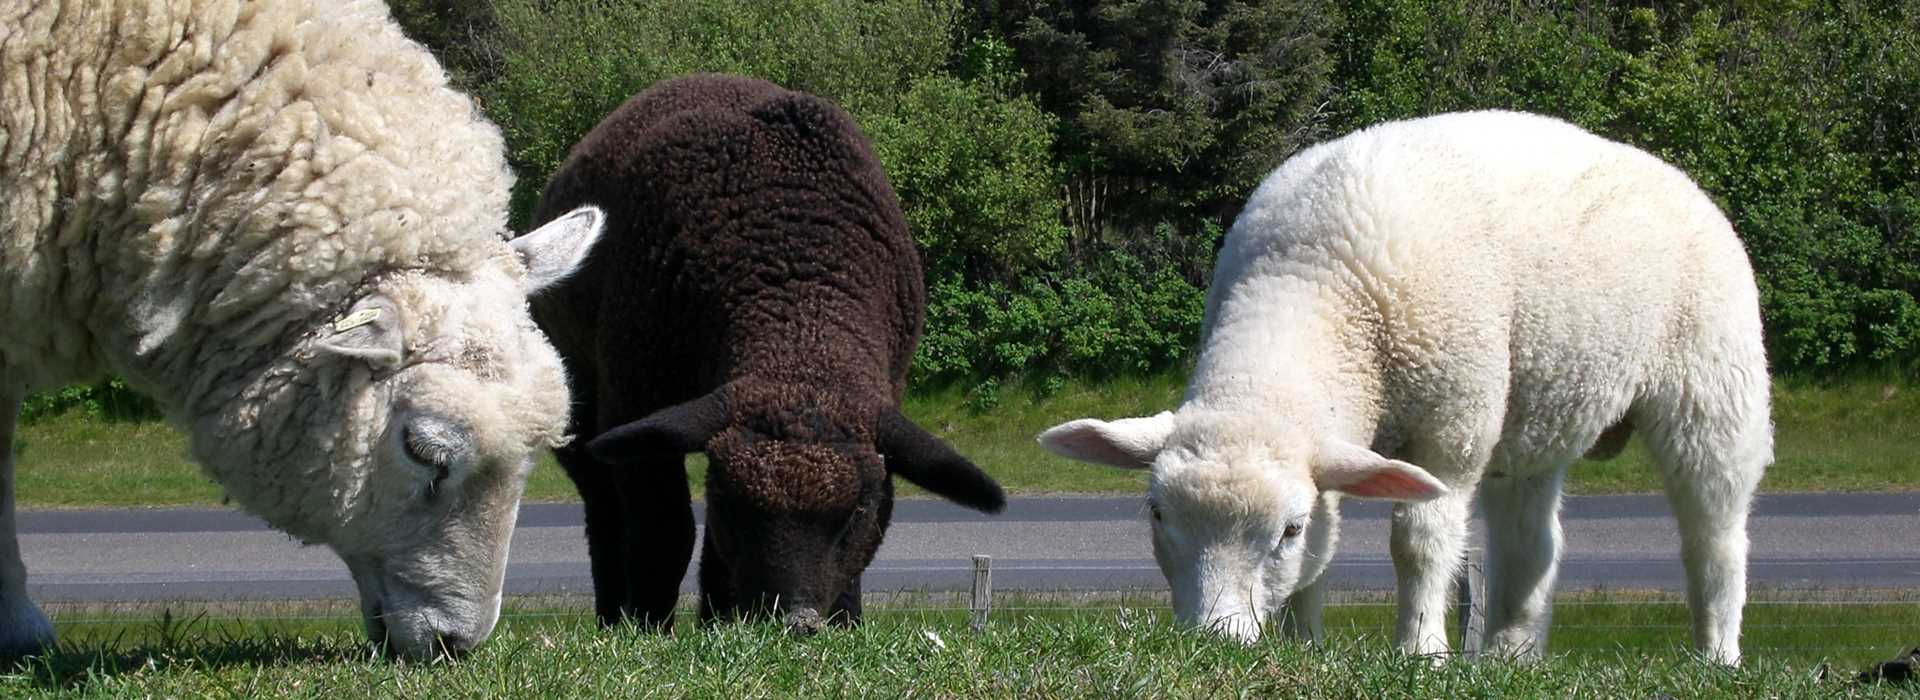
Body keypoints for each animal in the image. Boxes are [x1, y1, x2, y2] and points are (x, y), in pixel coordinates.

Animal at [526, 73, 1006, 629]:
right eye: (733, 506)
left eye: (856, 512)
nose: (793, 621)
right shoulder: (633, 396)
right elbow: (662, 534)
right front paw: (647, 627)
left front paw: (840, 623)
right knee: (605, 515)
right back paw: (615, 615)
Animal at [1036, 109, 1766, 659]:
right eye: (1157, 515)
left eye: (1288, 530)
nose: (1213, 645)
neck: (1315, 277)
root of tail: (1675, 175)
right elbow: (1325, 559)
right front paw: (1305, 648)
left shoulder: (1452, 430)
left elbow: (1419, 544)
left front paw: (1422, 651)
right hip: (1538, 412)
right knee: (1532, 542)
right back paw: (1510, 656)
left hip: (1713, 381)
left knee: (1715, 532)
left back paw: (1716, 655)